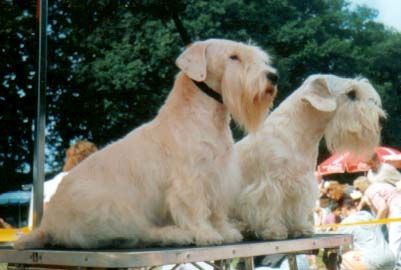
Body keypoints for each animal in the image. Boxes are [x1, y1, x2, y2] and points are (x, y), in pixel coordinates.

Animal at [15, 38, 278, 249]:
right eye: (233, 57)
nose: (273, 77)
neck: (203, 117)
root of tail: (48, 224)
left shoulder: (220, 176)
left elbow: (218, 210)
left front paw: (225, 231)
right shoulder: (190, 181)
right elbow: (195, 209)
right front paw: (207, 234)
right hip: (112, 210)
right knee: (138, 232)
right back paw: (176, 234)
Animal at [234, 75, 384, 239]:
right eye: (351, 93)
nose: (382, 120)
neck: (299, 136)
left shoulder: (303, 183)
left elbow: (298, 207)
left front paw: (300, 228)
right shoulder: (270, 183)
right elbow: (270, 206)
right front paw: (274, 230)